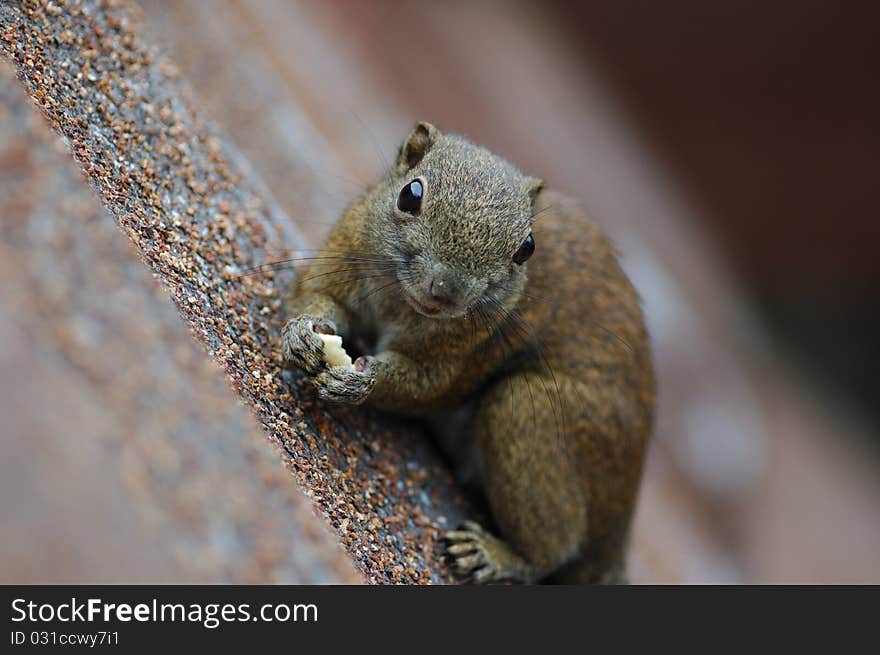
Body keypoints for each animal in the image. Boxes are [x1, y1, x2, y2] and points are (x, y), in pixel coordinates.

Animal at [282, 123, 652, 584]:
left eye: (527, 248)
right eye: (410, 195)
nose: (445, 291)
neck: (400, 304)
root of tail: (616, 536)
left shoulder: (469, 352)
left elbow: (422, 389)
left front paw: (360, 381)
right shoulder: (347, 249)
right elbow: (317, 296)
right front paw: (301, 334)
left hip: (525, 411)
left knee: (555, 550)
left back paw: (494, 555)